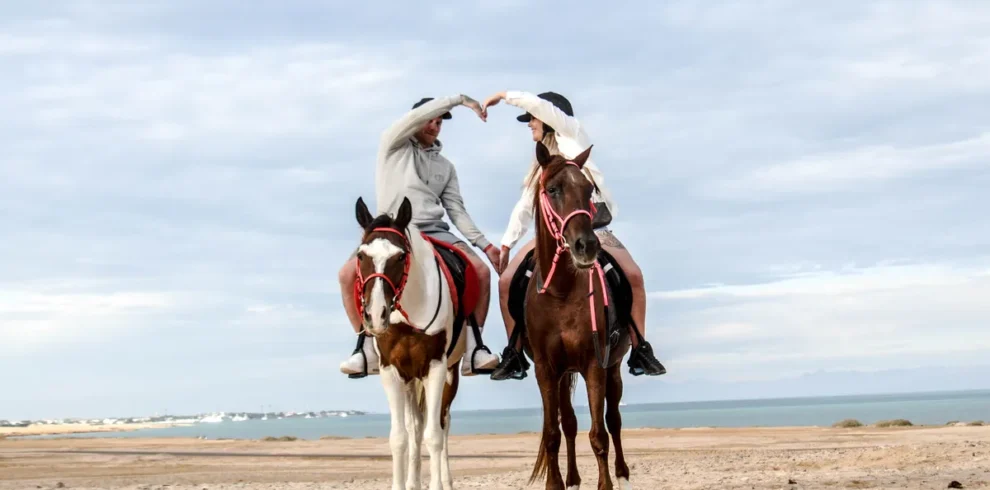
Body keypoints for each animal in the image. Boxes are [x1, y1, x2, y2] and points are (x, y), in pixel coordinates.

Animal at [351, 195, 482, 490]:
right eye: (361, 255)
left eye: (400, 256)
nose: (376, 315)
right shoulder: (392, 371)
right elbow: (400, 437)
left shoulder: (435, 367)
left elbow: (435, 435)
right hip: (411, 380)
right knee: (416, 428)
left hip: (448, 376)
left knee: (442, 424)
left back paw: (446, 481)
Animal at [519, 142, 633, 490]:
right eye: (553, 189)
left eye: (588, 189)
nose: (587, 245)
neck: (561, 292)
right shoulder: (546, 370)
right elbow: (553, 432)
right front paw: (556, 482)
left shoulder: (595, 365)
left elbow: (599, 434)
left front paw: (607, 483)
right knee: (567, 422)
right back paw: (572, 478)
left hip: (613, 368)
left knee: (614, 420)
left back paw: (622, 474)